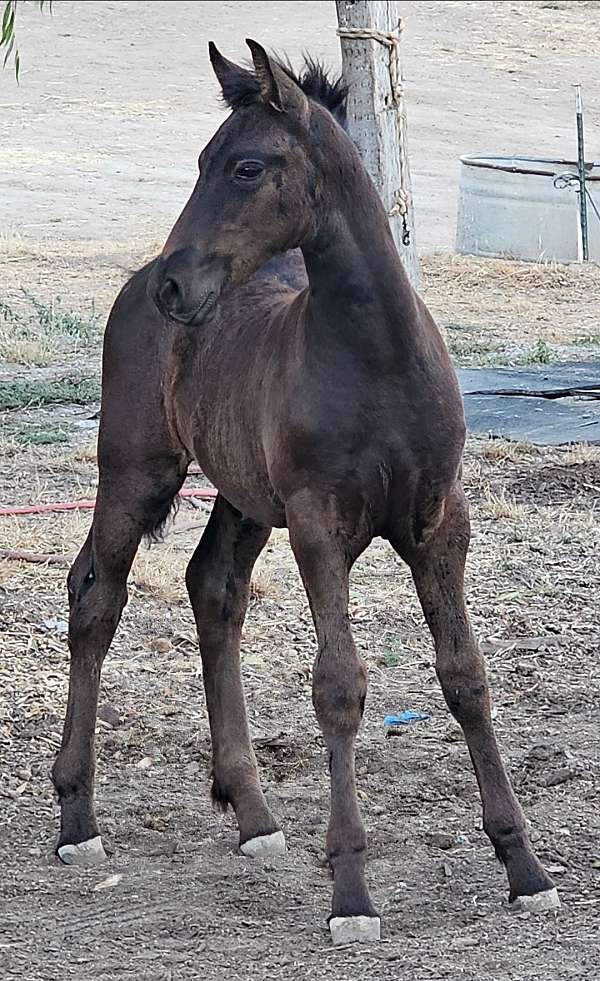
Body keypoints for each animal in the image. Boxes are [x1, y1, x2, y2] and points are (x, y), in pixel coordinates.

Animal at [51, 40, 558, 943]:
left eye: (246, 166)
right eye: (201, 161)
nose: (175, 289)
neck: (378, 359)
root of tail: (132, 280)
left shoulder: (440, 523)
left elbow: (465, 676)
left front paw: (524, 866)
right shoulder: (323, 528)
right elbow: (340, 688)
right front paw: (351, 894)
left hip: (245, 498)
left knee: (213, 588)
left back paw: (253, 814)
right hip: (137, 471)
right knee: (97, 597)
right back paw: (78, 818)